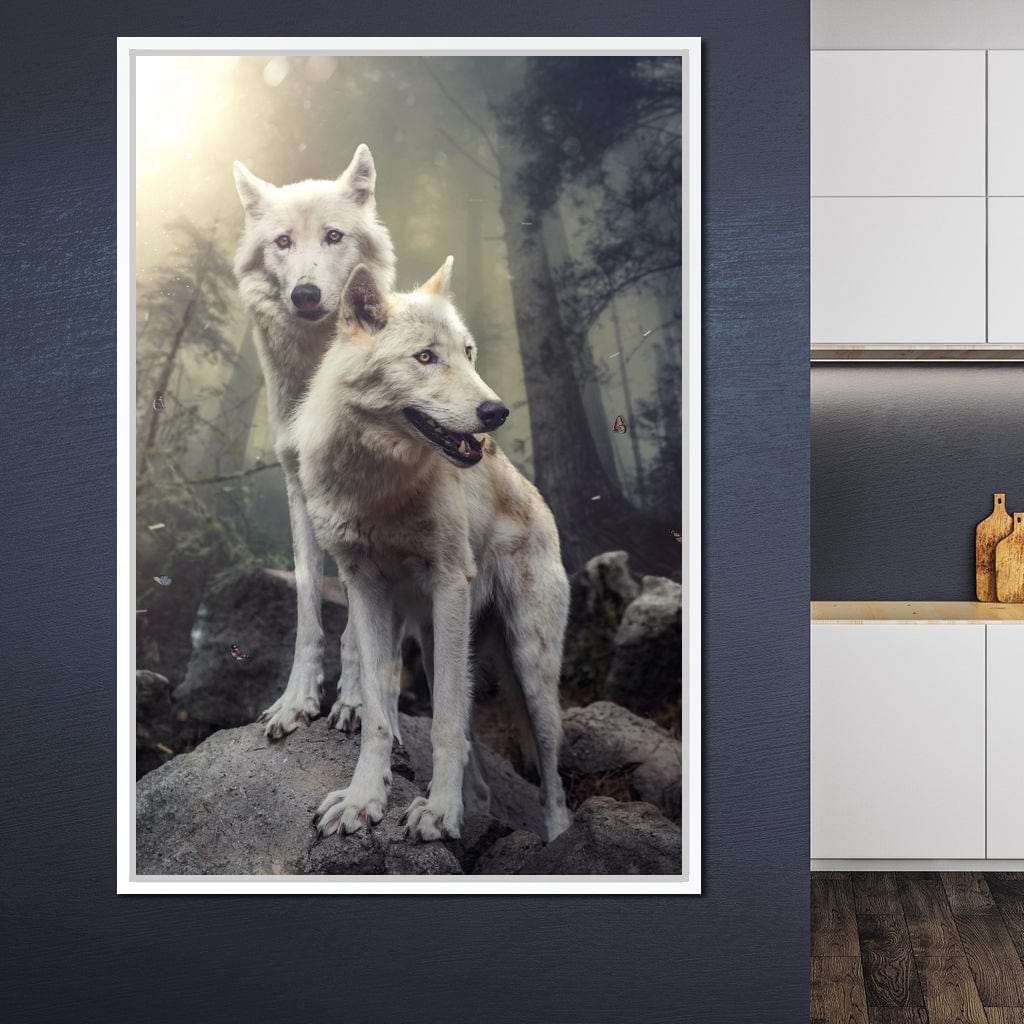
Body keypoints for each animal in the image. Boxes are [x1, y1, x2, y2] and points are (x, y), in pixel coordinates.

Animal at [232, 145, 395, 740]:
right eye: (283, 241)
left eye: (333, 236)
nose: (305, 294)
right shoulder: (298, 490)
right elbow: (307, 609)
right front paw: (295, 701)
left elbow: (359, 624)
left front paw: (355, 702)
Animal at [281, 257, 573, 842]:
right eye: (424, 357)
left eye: (468, 353)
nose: (497, 411)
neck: (379, 486)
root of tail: (536, 497)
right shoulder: (364, 588)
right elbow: (377, 712)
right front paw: (364, 800)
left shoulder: (449, 583)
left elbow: (443, 726)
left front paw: (438, 813)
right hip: (437, 639)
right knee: (469, 743)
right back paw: (475, 804)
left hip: (530, 669)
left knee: (550, 773)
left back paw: (556, 838)